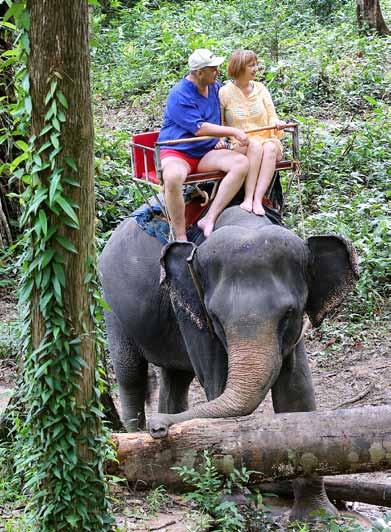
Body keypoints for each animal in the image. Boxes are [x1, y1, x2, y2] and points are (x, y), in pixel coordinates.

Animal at [99, 206, 360, 520]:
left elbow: (296, 391)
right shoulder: (192, 311)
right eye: (215, 317)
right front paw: (234, 503)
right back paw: (136, 438)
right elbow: (216, 378)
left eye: (289, 313)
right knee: (131, 373)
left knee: (176, 377)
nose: (157, 427)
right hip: (111, 304)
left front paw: (317, 517)